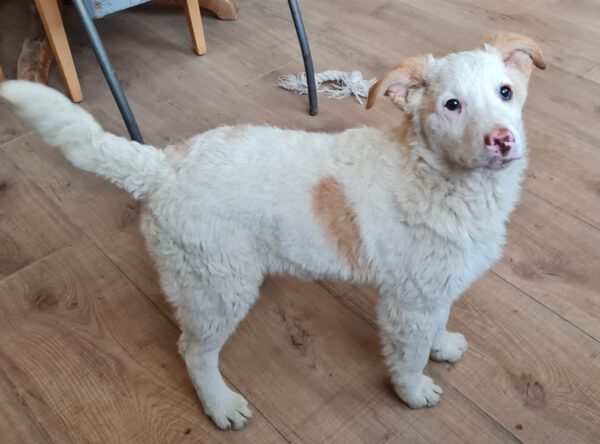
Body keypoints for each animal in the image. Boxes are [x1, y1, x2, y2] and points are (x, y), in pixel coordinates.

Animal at [0, 31, 545, 431]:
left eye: (506, 92)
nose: (502, 140)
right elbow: (408, 357)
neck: (438, 177)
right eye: (451, 105)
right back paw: (221, 406)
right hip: (220, 285)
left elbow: (437, 324)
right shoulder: (406, 303)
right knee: (193, 352)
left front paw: (443, 346)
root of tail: (160, 167)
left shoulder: (434, 286)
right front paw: (414, 392)